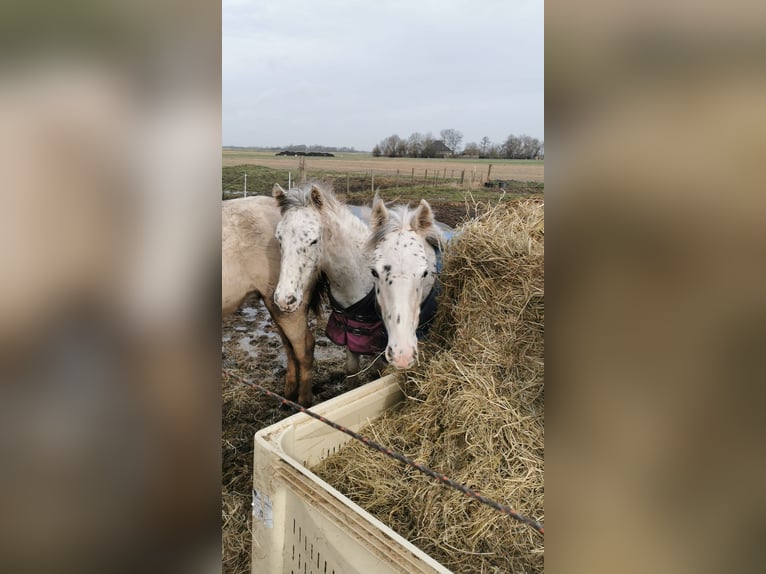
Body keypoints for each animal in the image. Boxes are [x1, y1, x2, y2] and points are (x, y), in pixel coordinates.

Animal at [222, 198, 320, 410]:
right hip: (274, 303)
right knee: (289, 347)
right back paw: (288, 395)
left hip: (290, 307)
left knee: (304, 347)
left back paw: (303, 403)